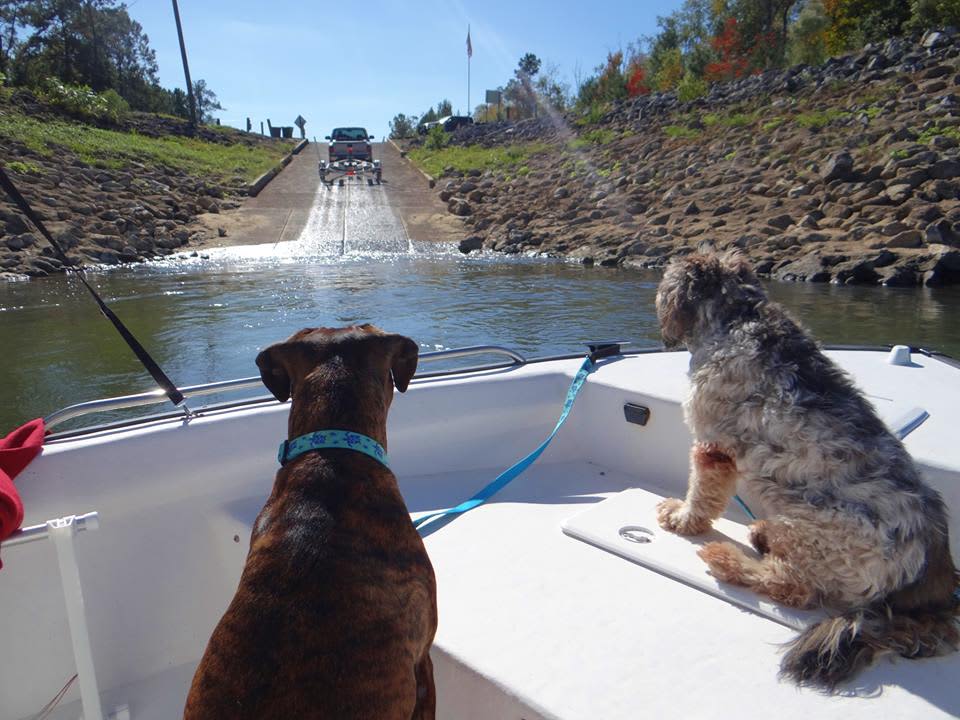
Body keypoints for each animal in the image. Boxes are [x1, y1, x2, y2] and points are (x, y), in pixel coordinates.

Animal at [656, 252, 956, 688]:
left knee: (791, 585)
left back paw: (728, 559)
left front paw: (681, 518)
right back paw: (762, 536)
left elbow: (701, 494)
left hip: (814, 526)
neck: (738, 316)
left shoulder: (713, 445)